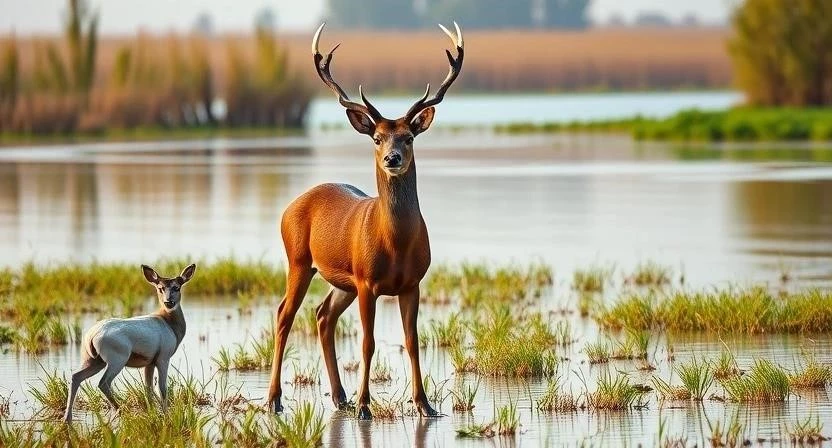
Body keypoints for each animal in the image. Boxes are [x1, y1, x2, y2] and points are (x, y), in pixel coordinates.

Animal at [63, 263, 196, 423]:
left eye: (177, 287)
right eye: (160, 288)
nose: (168, 302)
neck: (167, 322)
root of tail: (93, 334)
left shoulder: (149, 363)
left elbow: (148, 388)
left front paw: (152, 414)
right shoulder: (163, 359)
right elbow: (162, 389)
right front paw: (166, 416)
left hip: (94, 361)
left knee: (76, 376)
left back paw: (67, 419)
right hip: (117, 361)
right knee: (103, 383)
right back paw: (120, 410)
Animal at [266, 22, 464, 420]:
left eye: (408, 137)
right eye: (376, 137)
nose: (392, 158)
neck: (396, 245)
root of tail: (289, 206)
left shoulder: (412, 283)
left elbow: (412, 341)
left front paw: (425, 405)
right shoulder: (368, 282)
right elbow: (368, 343)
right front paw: (364, 405)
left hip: (342, 281)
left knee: (322, 315)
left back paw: (338, 396)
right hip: (299, 261)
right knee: (284, 315)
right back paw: (275, 399)